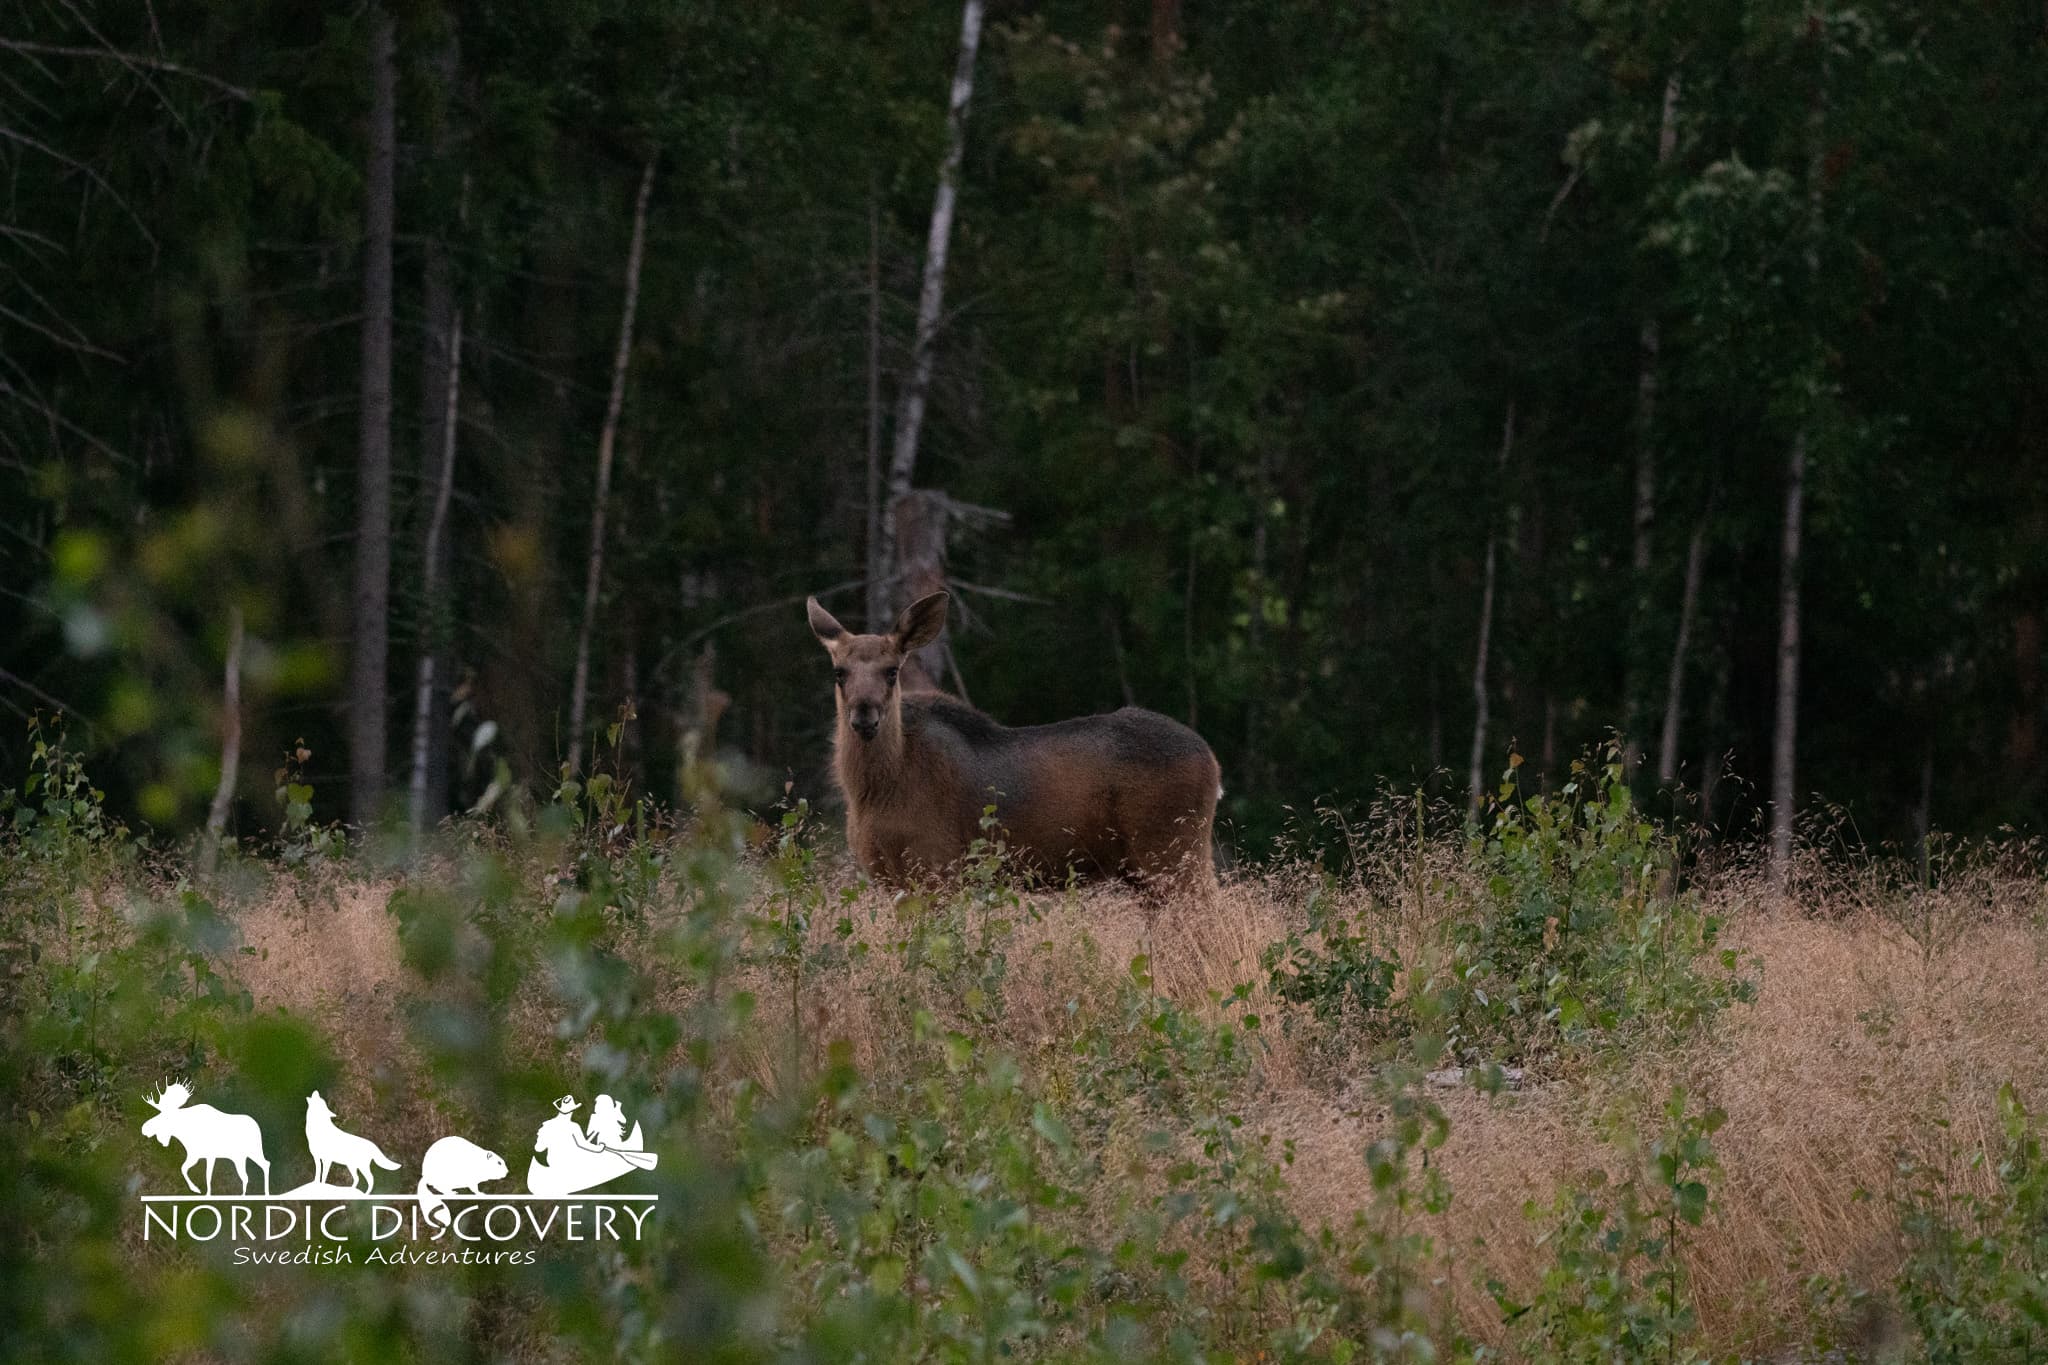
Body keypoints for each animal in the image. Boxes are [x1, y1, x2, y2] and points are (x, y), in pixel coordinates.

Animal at [805, 591, 1221, 894]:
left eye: (892, 671)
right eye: (839, 672)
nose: (864, 716)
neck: (872, 791)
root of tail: (1213, 762)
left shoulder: (938, 866)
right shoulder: (885, 876)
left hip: (1174, 853)